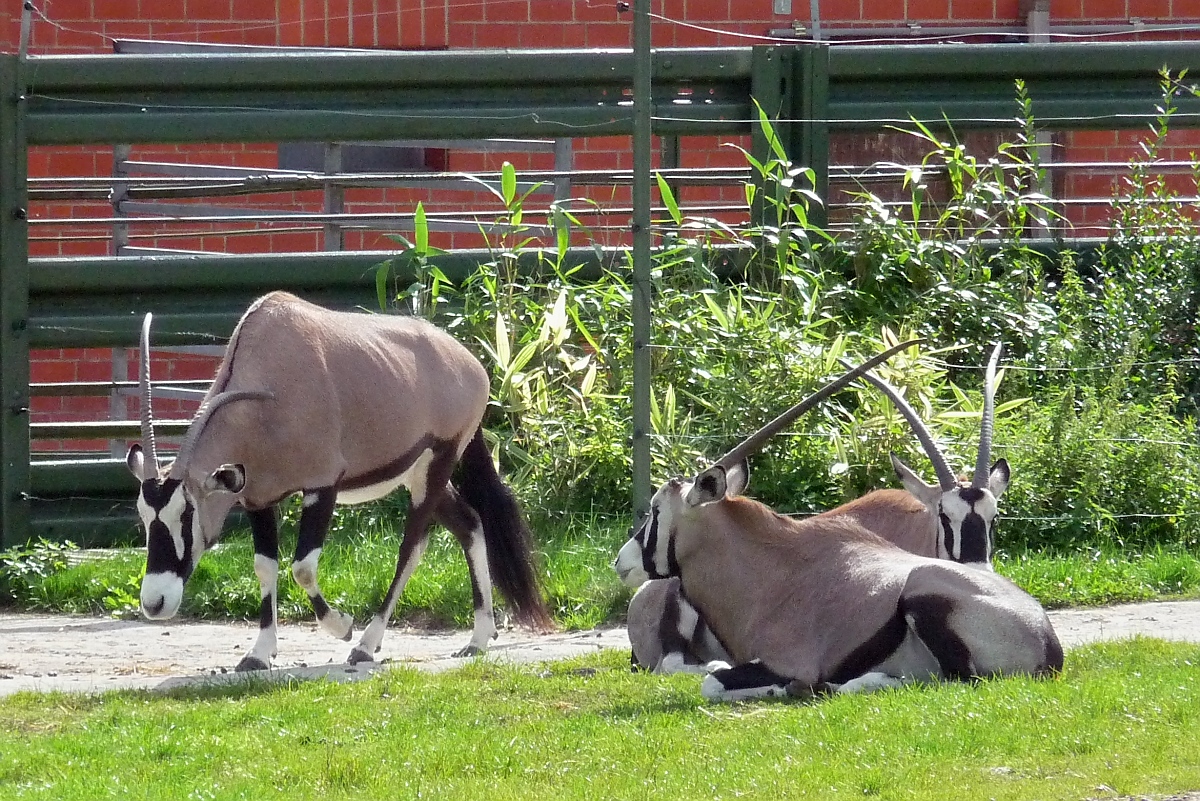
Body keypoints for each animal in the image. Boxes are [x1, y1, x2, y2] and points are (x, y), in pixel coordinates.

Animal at [129, 291, 549, 671]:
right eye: (145, 517)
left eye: (186, 514)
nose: (154, 603)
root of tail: (470, 364)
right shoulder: (258, 498)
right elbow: (265, 567)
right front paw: (259, 654)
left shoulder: (322, 485)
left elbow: (302, 567)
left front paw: (342, 627)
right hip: (419, 474)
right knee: (470, 524)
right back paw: (478, 637)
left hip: (438, 465)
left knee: (411, 547)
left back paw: (366, 644)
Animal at [619, 347, 1060, 695]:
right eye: (944, 516)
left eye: (656, 509)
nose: (622, 561)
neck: (770, 569)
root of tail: (1045, 639)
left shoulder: (790, 662)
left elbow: (712, 682)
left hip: (922, 594)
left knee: (954, 680)